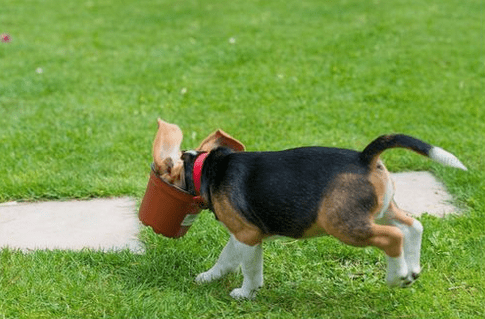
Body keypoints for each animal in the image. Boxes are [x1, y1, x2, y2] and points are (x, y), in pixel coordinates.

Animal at [154, 121, 466, 302]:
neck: (207, 168)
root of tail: (364, 158)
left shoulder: (248, 236)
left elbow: (251, 270)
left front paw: (245, 293)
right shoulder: (241, 234)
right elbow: (226, 259)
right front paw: (209, 277)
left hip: (344, 225)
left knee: (393, 237)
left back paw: (396, 276)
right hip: (383, 210)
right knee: (413, 226)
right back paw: (411, 271)